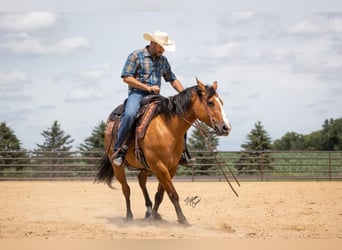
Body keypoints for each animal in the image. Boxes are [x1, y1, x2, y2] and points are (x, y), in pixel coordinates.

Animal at [95, 77, 231, 225]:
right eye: (210, 102)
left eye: (222, 102)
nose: (226, 127)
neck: (168, 127)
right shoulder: (159, 165)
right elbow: (173, 193)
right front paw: (182, 220)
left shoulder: (170, 167)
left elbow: (160, 195)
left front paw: (153, 216)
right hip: (117, 166)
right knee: (126, 189)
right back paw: (129, 216)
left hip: (146, 166)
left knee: (141, 180)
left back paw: (148, 211)